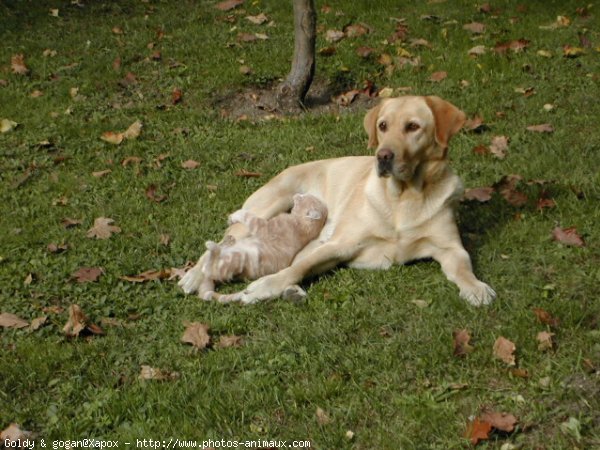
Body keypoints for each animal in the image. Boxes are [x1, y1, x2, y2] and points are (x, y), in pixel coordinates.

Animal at [179, 95, 496, 306]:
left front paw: (476, 287)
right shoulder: (341, 244)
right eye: (383, 126)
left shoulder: (451, 249)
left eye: (413, 127)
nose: (383, 156)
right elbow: (295, 269)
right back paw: (193, 276)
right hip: (267, 207)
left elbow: (464, 266)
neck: (404, 197)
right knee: (225, 240)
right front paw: (264, 287)